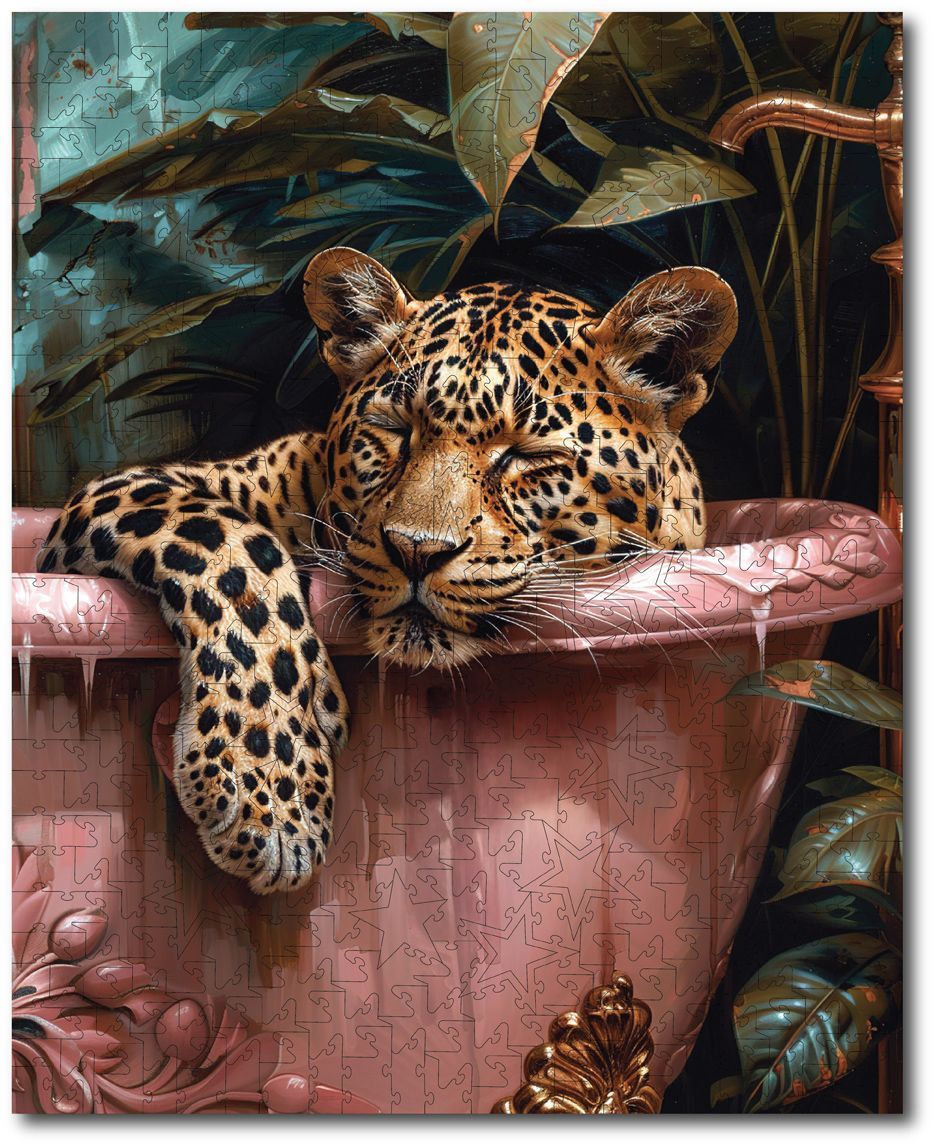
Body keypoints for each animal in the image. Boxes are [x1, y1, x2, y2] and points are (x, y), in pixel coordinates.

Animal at [37, 246, 737, 896]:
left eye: (527, 454)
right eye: (394, 429)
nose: (416, 551)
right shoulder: (133, 491)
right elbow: (232, 547)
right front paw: (270, 793)